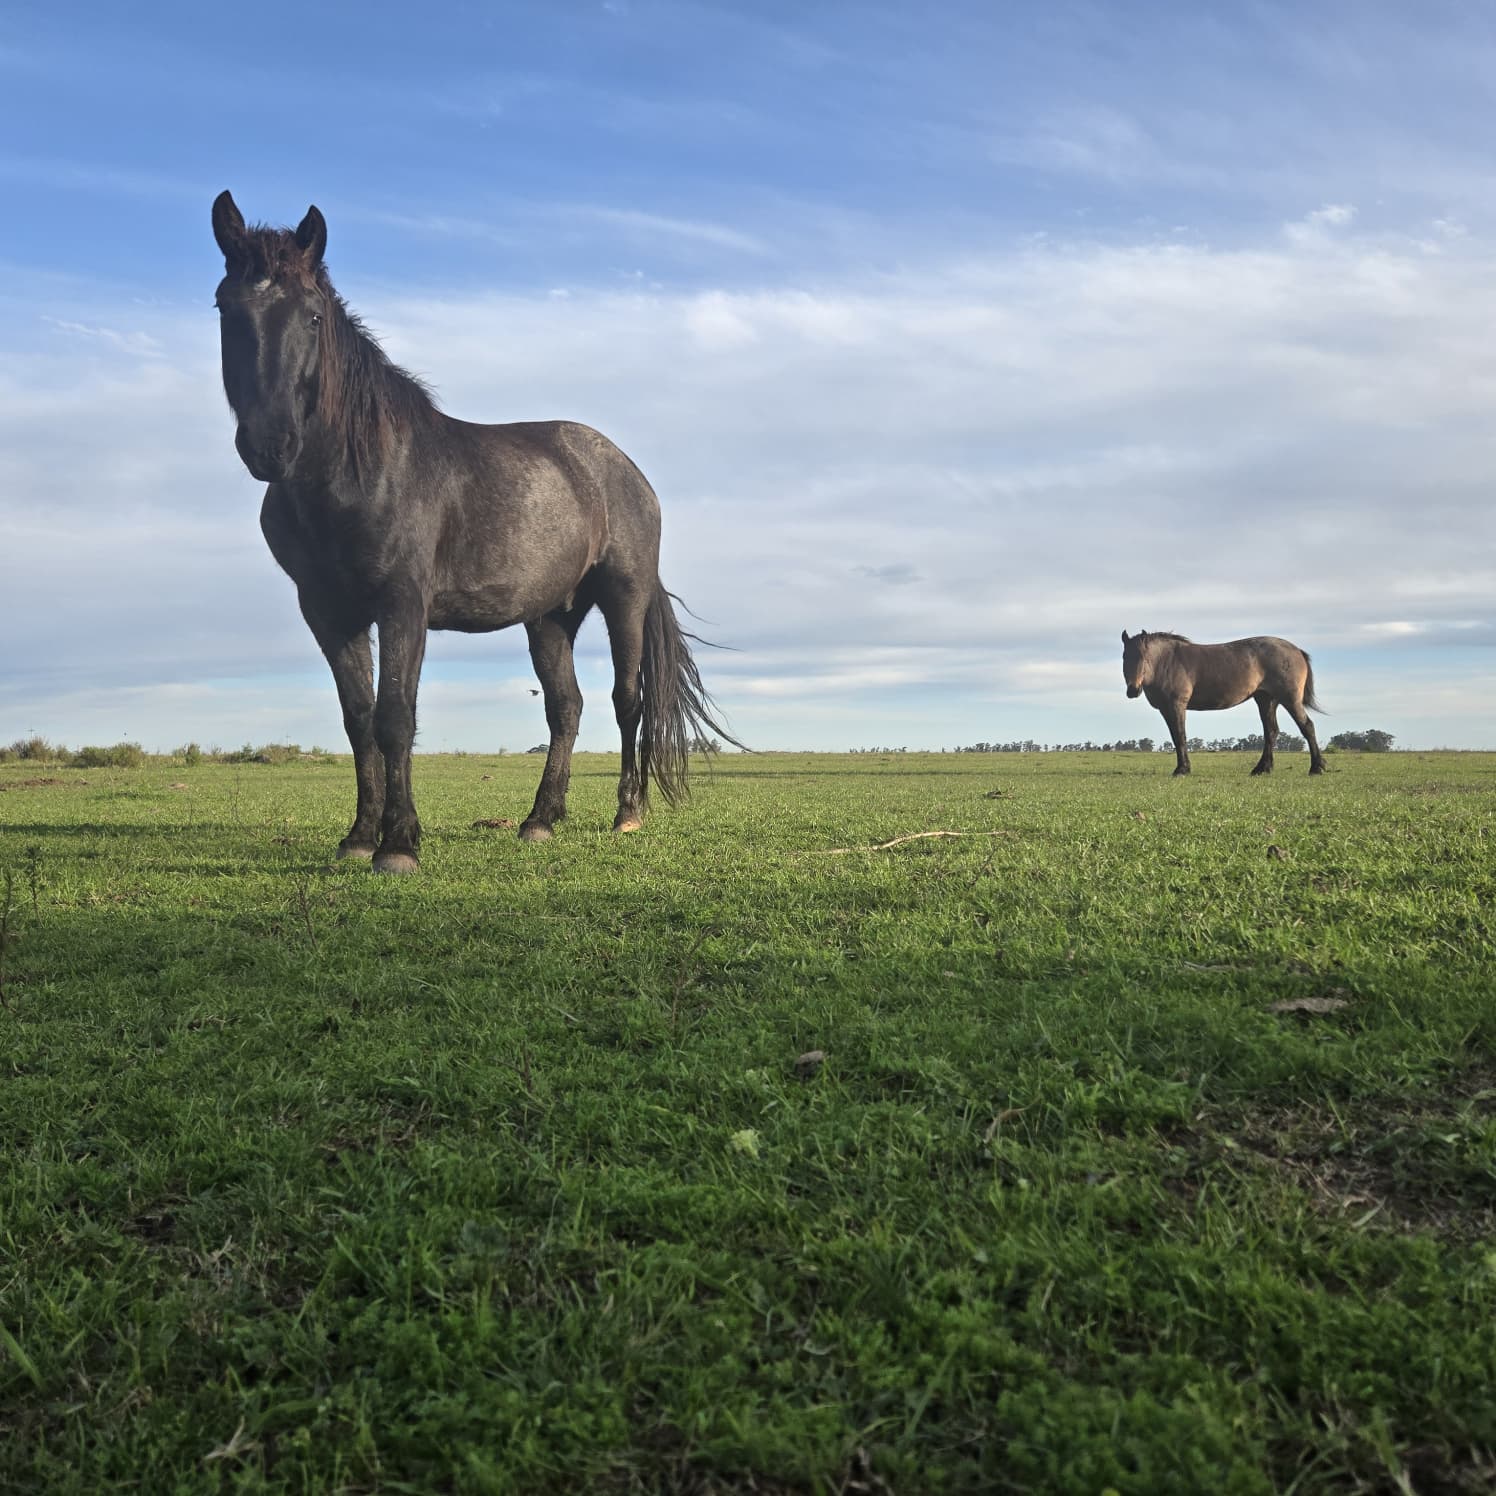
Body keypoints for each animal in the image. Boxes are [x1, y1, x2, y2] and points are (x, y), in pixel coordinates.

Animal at [211, 192, 739, 872]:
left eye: (312, 316)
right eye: (226, 308)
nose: (269, 446)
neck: (358, 469)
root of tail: (625, 469)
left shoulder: (402, 603)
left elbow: (394, 718)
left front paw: (399, 844)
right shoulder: (328, 611)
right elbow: (358, 720)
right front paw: (359, 837)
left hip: (624, 597)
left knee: (629, 699)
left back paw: (627, 813)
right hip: (551, 616)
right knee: (566, 708)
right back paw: (540, 819)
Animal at [1120, 630, 1326, 776]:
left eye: (1144, 657)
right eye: (1124, 657)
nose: (1133, 690)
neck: (1168, 662)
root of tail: (1297, 650)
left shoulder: (1177, 705)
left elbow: (1180, 736)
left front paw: (1182, 769)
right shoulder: (1165, 708)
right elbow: (1176, 737)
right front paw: (1182, 767)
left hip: (1289, 699)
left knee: (1307, 726)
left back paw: (1316, 768)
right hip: (1266, 699)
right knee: (1272, 732)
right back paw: (1261, 769)